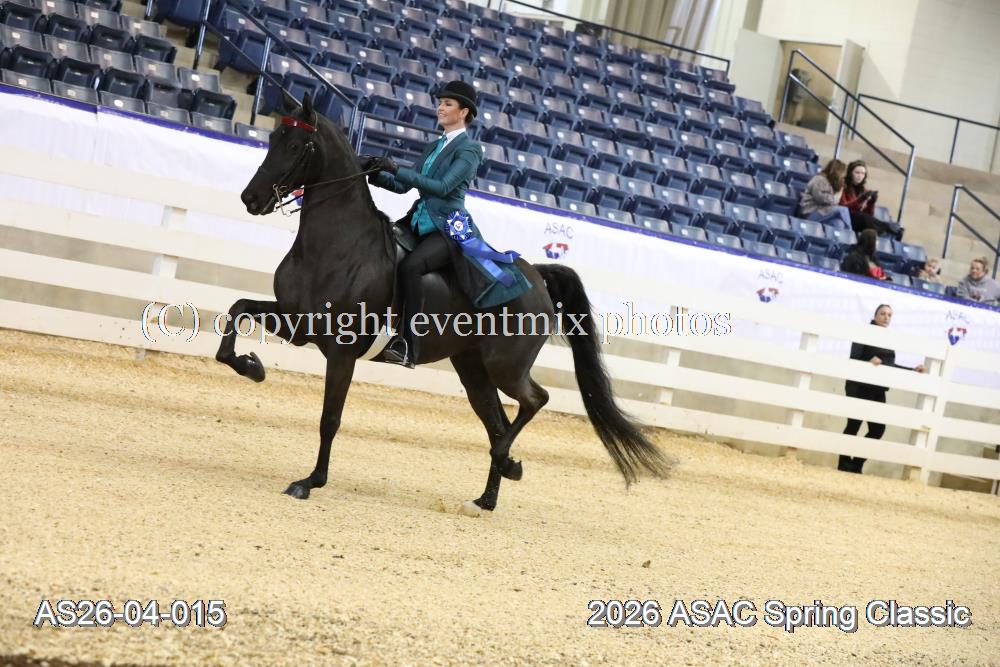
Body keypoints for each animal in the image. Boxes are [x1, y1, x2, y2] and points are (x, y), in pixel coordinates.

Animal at [220, 94, 671, 514]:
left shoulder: (341, 351)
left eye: (297, 146)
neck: (337, 246)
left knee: (534, 400)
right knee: (497, 422)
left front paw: (309, 482)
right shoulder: (297, 322)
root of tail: (537, 277)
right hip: (473, 370)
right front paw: (252, 366)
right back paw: (489, 493)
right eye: (273, 138)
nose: (251, 198)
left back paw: (507, 463)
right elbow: (237, 311)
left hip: (505, 367)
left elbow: (330, 418)